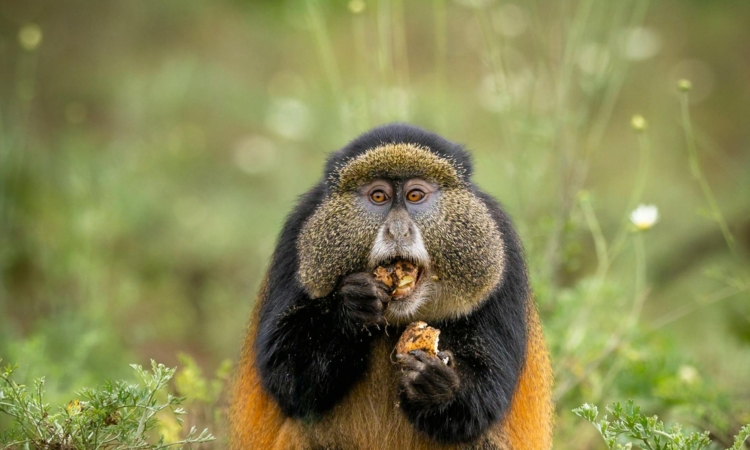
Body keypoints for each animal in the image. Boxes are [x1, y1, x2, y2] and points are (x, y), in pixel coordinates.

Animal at [229, 123, 553, 449]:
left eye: (415, 195)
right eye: (379, 197)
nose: (398, 230)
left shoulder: (502, 245)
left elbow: (487, 396)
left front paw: (436, 385)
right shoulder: (297, 231)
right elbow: (286, 375)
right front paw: (350, 308)